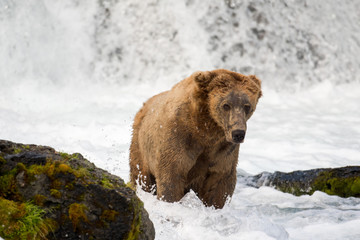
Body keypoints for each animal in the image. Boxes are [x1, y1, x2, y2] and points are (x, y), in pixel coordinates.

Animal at [129, 69, 262, 208]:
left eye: (247, 106)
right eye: (226, 105)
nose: (238, 133)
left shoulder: (223, 149)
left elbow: (220, 182)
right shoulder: (180, 136)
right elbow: (171, 175)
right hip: (141, 146)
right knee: (141, 176)